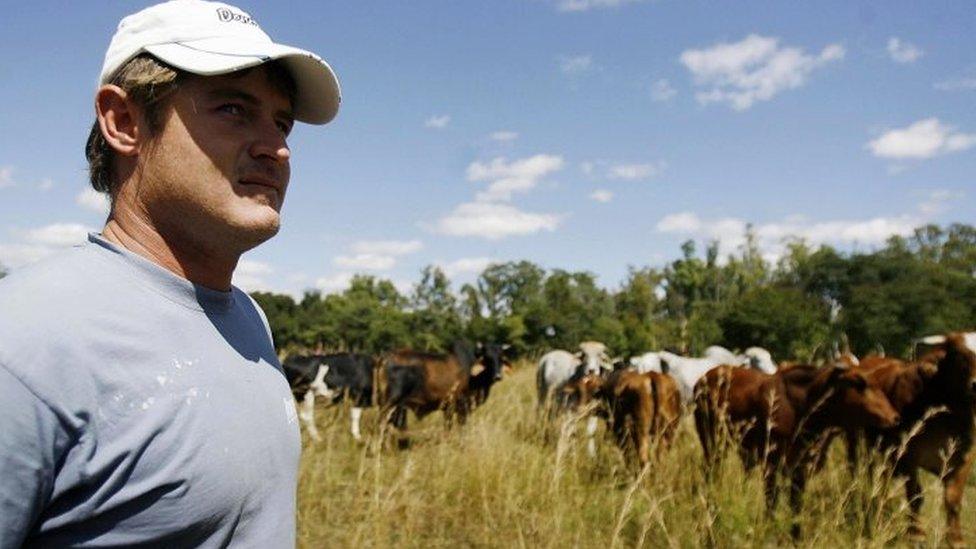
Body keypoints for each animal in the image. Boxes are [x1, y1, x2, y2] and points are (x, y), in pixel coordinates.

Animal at [692, 362, 900, 536]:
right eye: (859, 383)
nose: (894, 417)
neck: (803, 406)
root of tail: (704, 379)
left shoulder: (800, 470)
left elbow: (795, 506)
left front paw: (796, 535)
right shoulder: (771, 466)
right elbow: (772, 503)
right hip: (713, 445)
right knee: (710, 475)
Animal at [844, 332, 972, 544]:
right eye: (960, 354)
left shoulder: (962, 459)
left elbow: (953, 500)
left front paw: (956, 540)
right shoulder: (908, 456)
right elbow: (915, 496)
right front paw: (917, 535)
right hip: (856, 442)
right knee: (857, 471)